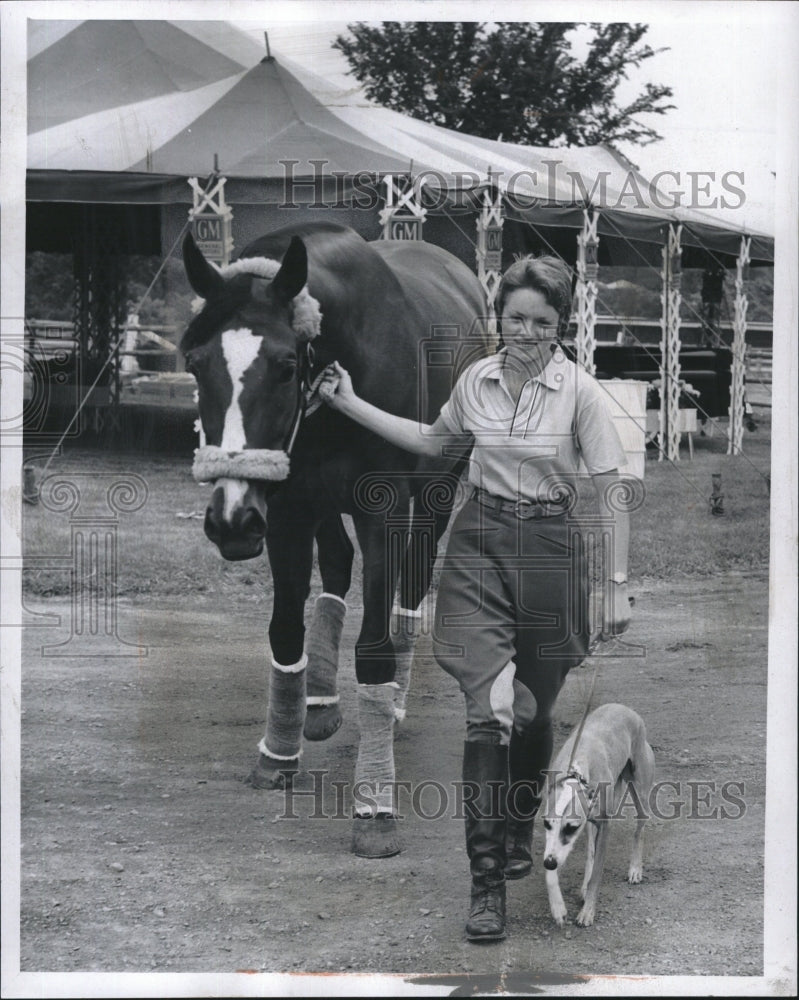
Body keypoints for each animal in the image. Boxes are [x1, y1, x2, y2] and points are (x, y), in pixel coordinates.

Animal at [182, 223, 488, 856]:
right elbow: (284, 628)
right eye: (195, 364)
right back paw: (319, 702)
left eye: (283, 365)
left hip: (438, 489)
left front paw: (375, 807)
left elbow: (373, 645)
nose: (229, 521)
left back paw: (395, 698)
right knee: (339, 567)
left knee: (411, 585)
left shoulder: (384, 507)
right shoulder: (286, 506)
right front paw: (279, 752)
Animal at [544, 704, 656, 928]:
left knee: (639, 830)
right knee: (590, 850)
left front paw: (587, 912)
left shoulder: (604, 826)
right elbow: (554, 871)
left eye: (571, 827)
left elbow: (597, 874)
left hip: (640, 792)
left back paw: (635, 869)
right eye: (546, 825)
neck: (577, 771)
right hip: (592, 821)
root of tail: (624, 708)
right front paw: (558, 908)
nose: (550, 863)